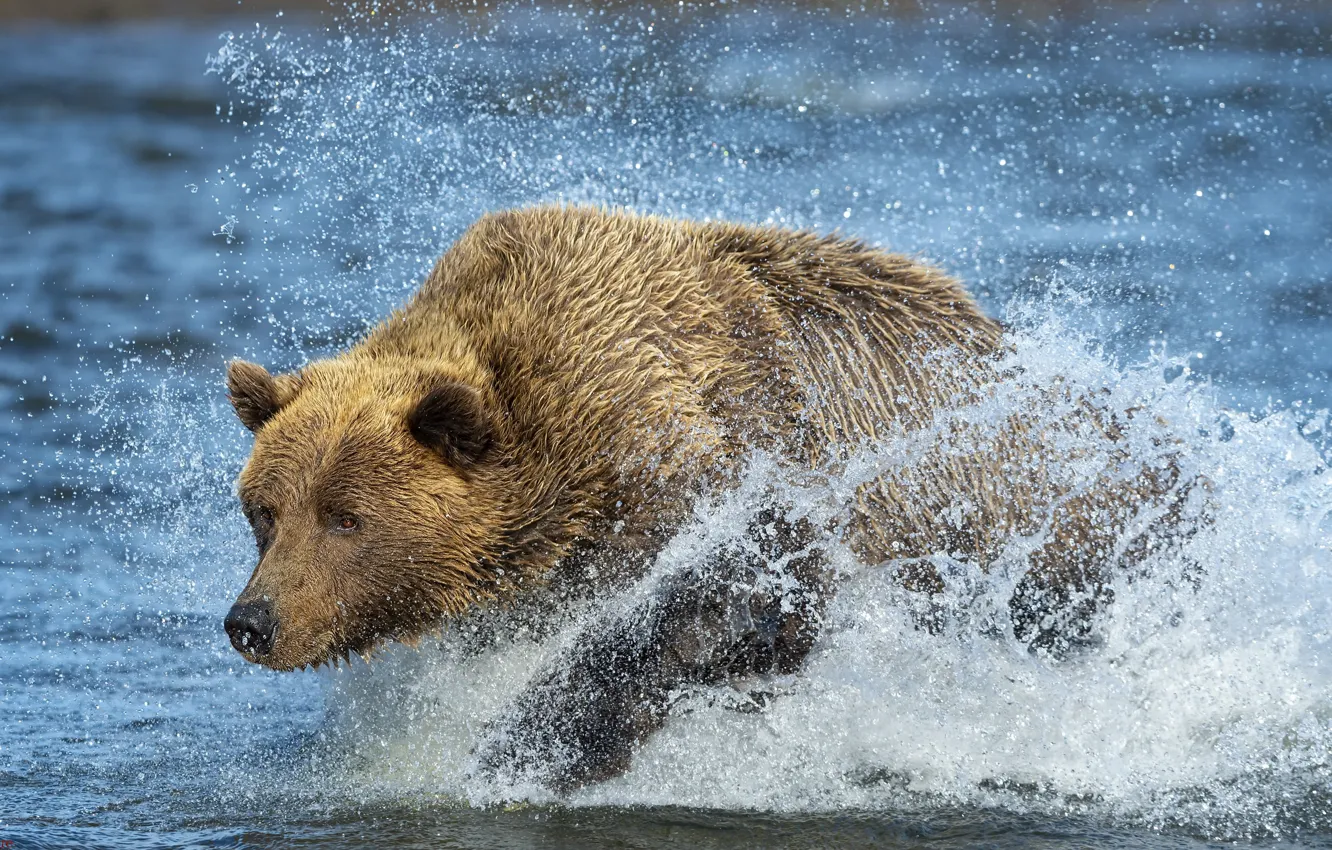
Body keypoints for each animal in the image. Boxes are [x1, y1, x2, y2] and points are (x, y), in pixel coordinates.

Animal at [223, 205, 1192, 790]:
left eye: (346, 516)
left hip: (1053, 527)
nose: (252, 622)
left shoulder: (700, 450)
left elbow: (739, 593)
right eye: (264, 511)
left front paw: (531, 743)